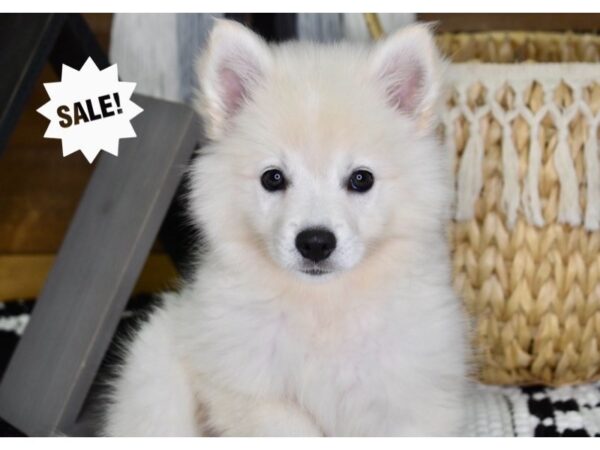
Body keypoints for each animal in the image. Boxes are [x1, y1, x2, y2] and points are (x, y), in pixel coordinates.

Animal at [102, 18, 468, 436]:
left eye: (361, 179)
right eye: (273, 178)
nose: (315, 243)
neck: (322, 307)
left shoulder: (408, 402)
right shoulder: (252, 392)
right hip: (154, 375)